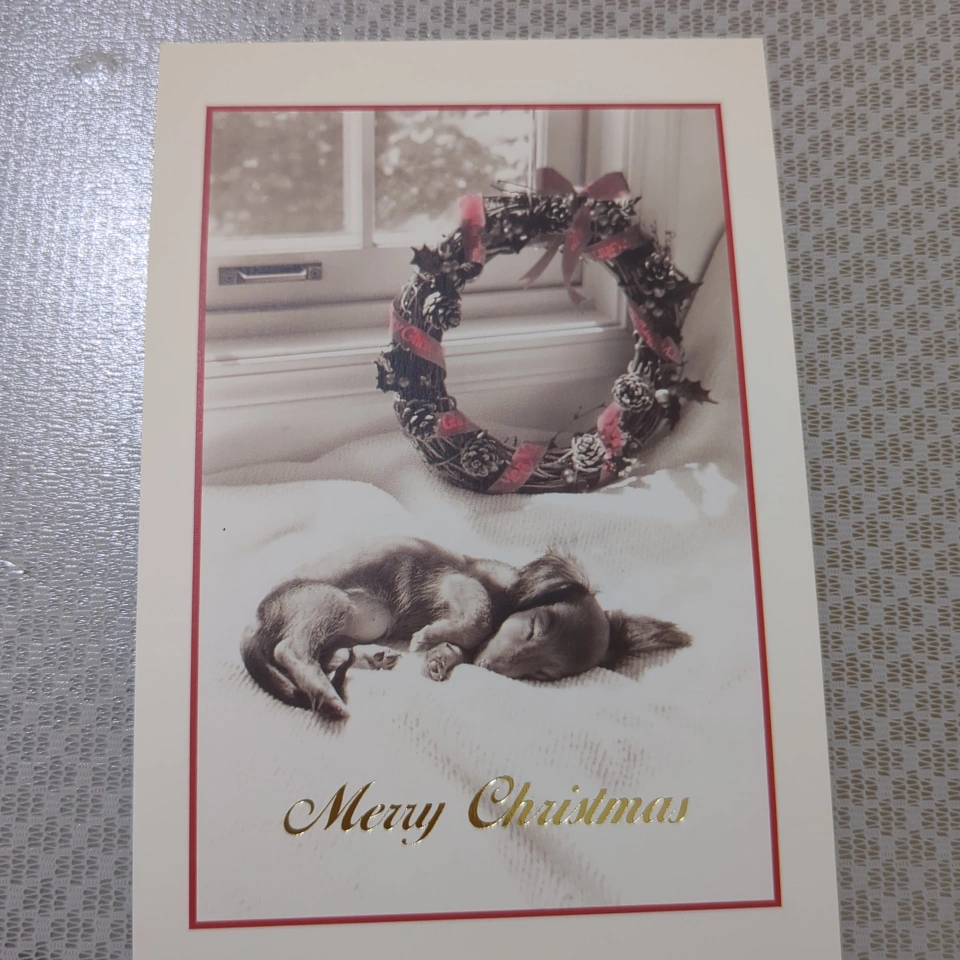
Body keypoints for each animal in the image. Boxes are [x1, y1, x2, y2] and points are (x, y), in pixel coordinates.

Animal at [240, 536, 691, 719]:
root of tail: (257, 618)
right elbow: (479, 615)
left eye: (543, 674)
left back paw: (372, 658)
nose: (490, 668)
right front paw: (432, 638)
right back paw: (328, 697)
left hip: (362, 618)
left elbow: (467, 638)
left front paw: (441, 657)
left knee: (327, 651)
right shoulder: (459, 581)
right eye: (534, 628)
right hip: (336, 602)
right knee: (290, 650)